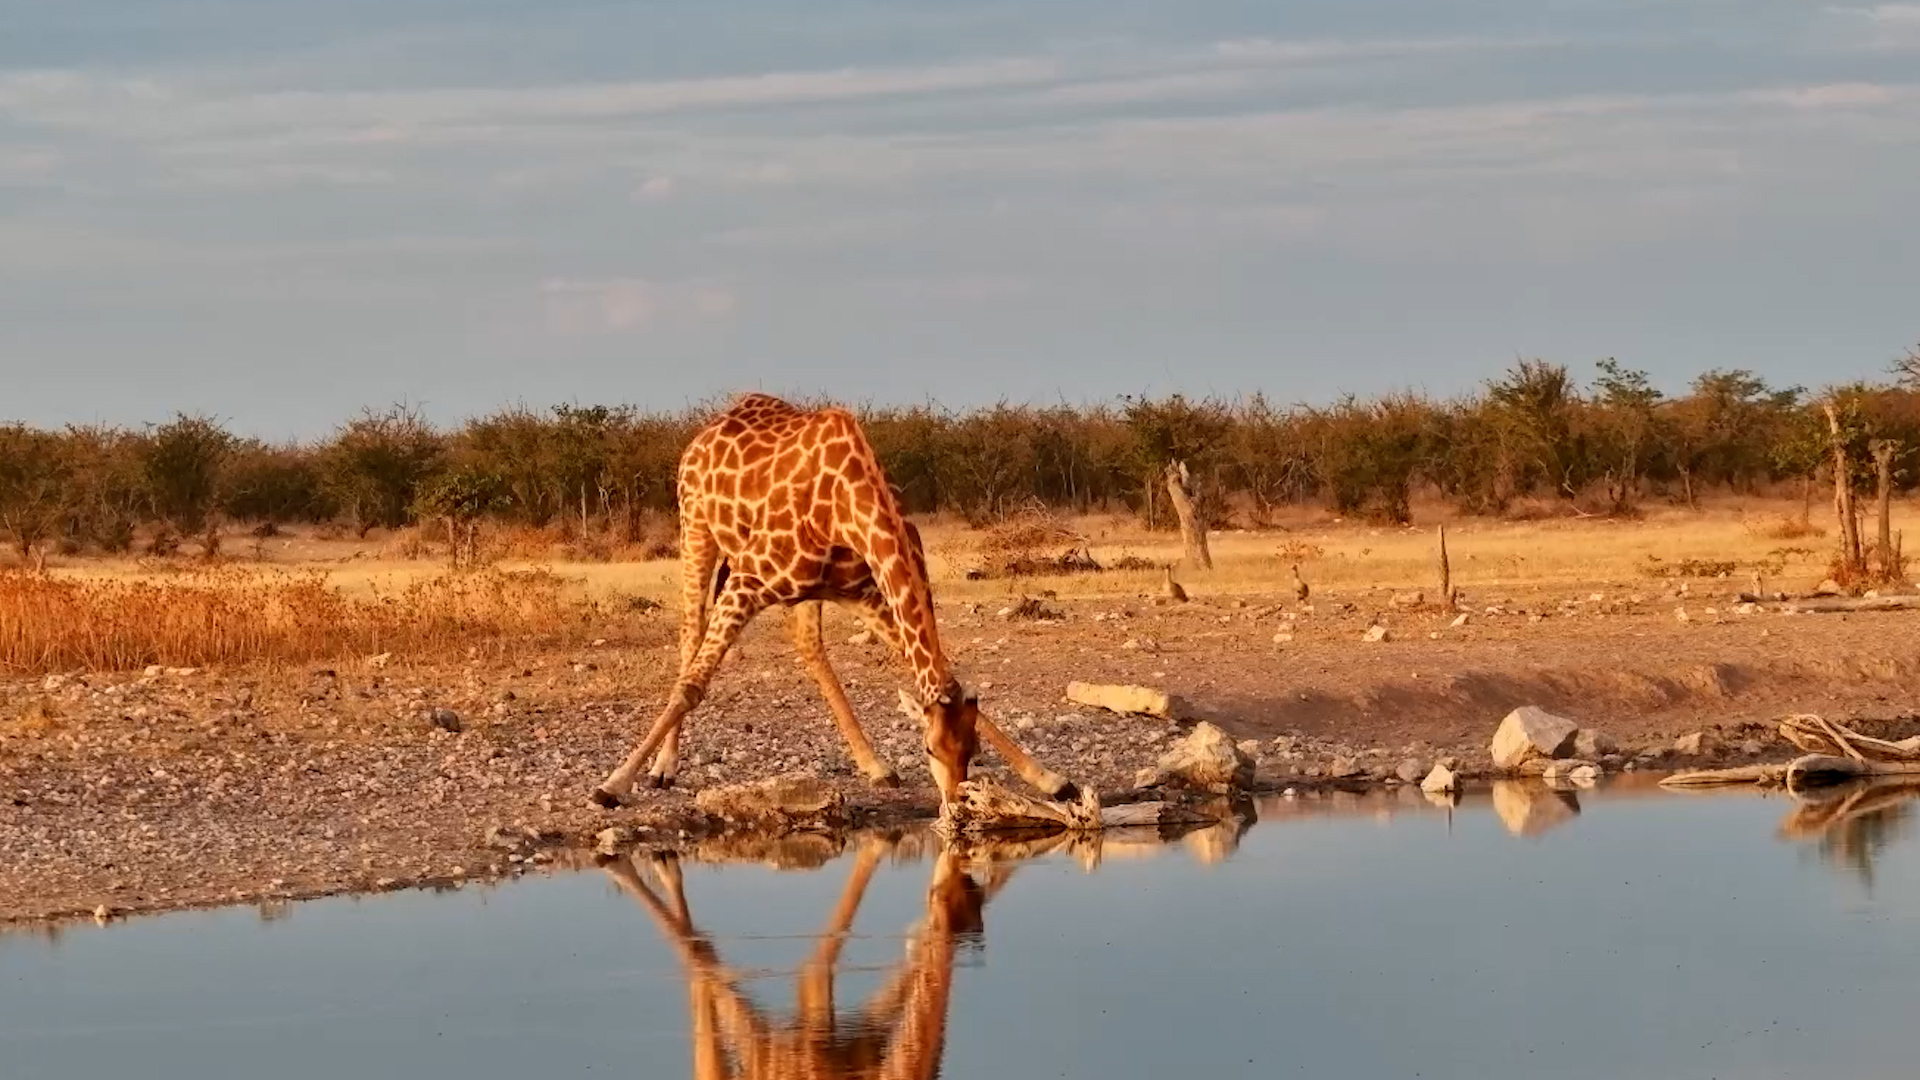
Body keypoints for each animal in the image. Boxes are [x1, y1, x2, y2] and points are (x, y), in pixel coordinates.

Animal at [591, 392, 1079, 812]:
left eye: (973, 749)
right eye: (927, 747)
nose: (955, 804)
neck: (848, 504)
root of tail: (709, 429)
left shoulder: (862, 590)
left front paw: (1051, 779)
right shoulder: (747, 581)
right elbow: (692, 686)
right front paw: (612, 785)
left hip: (807, 590)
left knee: (809, 645)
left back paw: (876, 767)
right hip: (695, 529)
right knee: (690, 636)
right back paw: (663, 768)